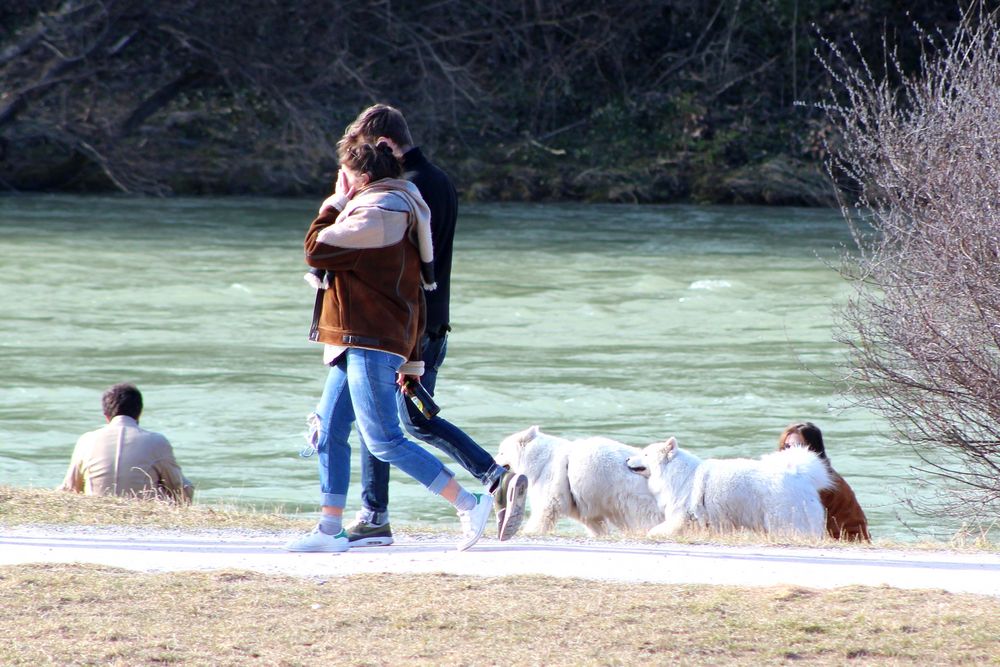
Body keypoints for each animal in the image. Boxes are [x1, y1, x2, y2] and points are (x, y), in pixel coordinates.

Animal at [494, 428, 664, 536]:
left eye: (501, 452)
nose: (493, 460)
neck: (541, 459)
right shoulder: (582, 505)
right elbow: (595, 524)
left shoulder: (550, 496)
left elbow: (542, 516)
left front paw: (529, 532)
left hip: (634, 500)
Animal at [628, 436, 832, 540]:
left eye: (645, 454)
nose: (627, 459)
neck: (681, 474)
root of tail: (800, 475)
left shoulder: (680, 517)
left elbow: (656, 530)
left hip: (783, 520)